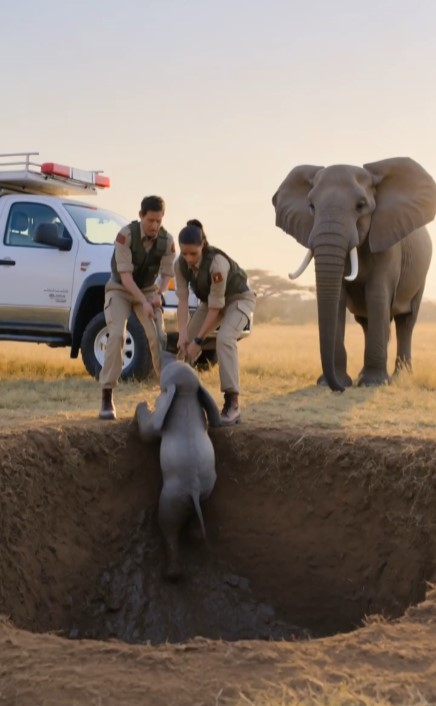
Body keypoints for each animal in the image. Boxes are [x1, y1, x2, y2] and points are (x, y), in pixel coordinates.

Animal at [135, 353, 221, 580]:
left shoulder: (161, 410)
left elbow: (147, 432)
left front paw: (142, 404)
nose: (167, 353)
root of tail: (194, 490)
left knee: (169, 531)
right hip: (206, 493)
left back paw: (172, 575)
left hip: (170, 502)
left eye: (169, 365)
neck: (185, 396)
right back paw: (194, 536)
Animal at [272, 157, 436, 391]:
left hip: (421, 274)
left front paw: (373, 383)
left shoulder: (388, 242)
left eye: (361, 206)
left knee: (406, 321)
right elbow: (339, 298)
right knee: (366, 321)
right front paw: (334, 382)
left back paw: (399, 377)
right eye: (311, 206)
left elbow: (377, 295)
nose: (339, 389)